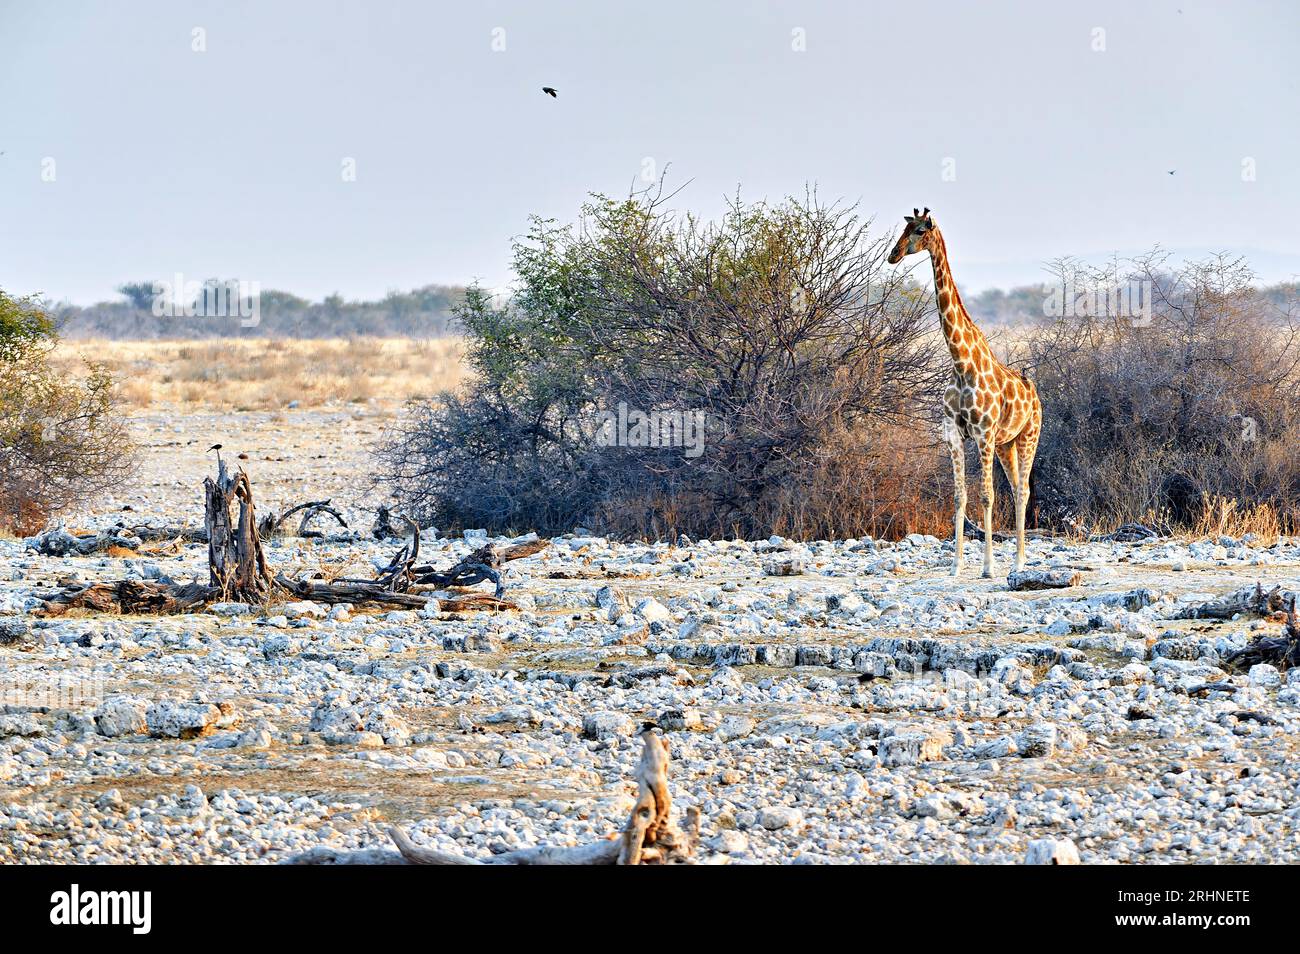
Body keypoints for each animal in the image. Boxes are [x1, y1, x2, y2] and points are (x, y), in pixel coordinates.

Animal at [883, 207, 1045, 579]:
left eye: (919, 231)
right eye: (904, 229)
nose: (893, 255)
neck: (961, 363)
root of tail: (1036, 396)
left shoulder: (983, 432)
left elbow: (986, 495)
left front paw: (987, 567)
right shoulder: (953, 434)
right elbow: (960, 497)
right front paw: (955, 565)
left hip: (1028, 435)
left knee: (1024, 491)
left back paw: (1018, 562)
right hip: (1006, 444)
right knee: (1015, 488)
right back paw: (1017, 560)